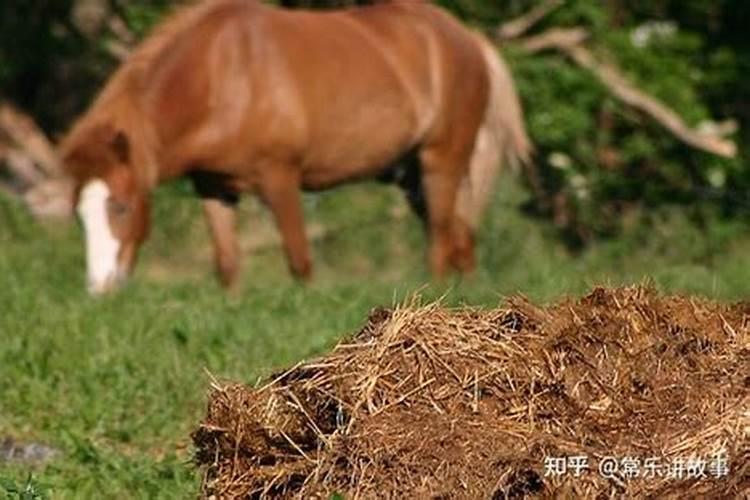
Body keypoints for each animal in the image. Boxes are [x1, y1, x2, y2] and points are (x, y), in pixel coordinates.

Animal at [61, 0, 532, 294]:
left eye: (121, 206)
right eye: (79, 214)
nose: (100, 287)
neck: (222, 75)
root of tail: (469, 38)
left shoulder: (280, 179)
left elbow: (300, 261)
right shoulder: (213, 187)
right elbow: (228, 265)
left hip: (442, 161)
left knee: (440, 239)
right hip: (412, 176)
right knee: (460, 239)